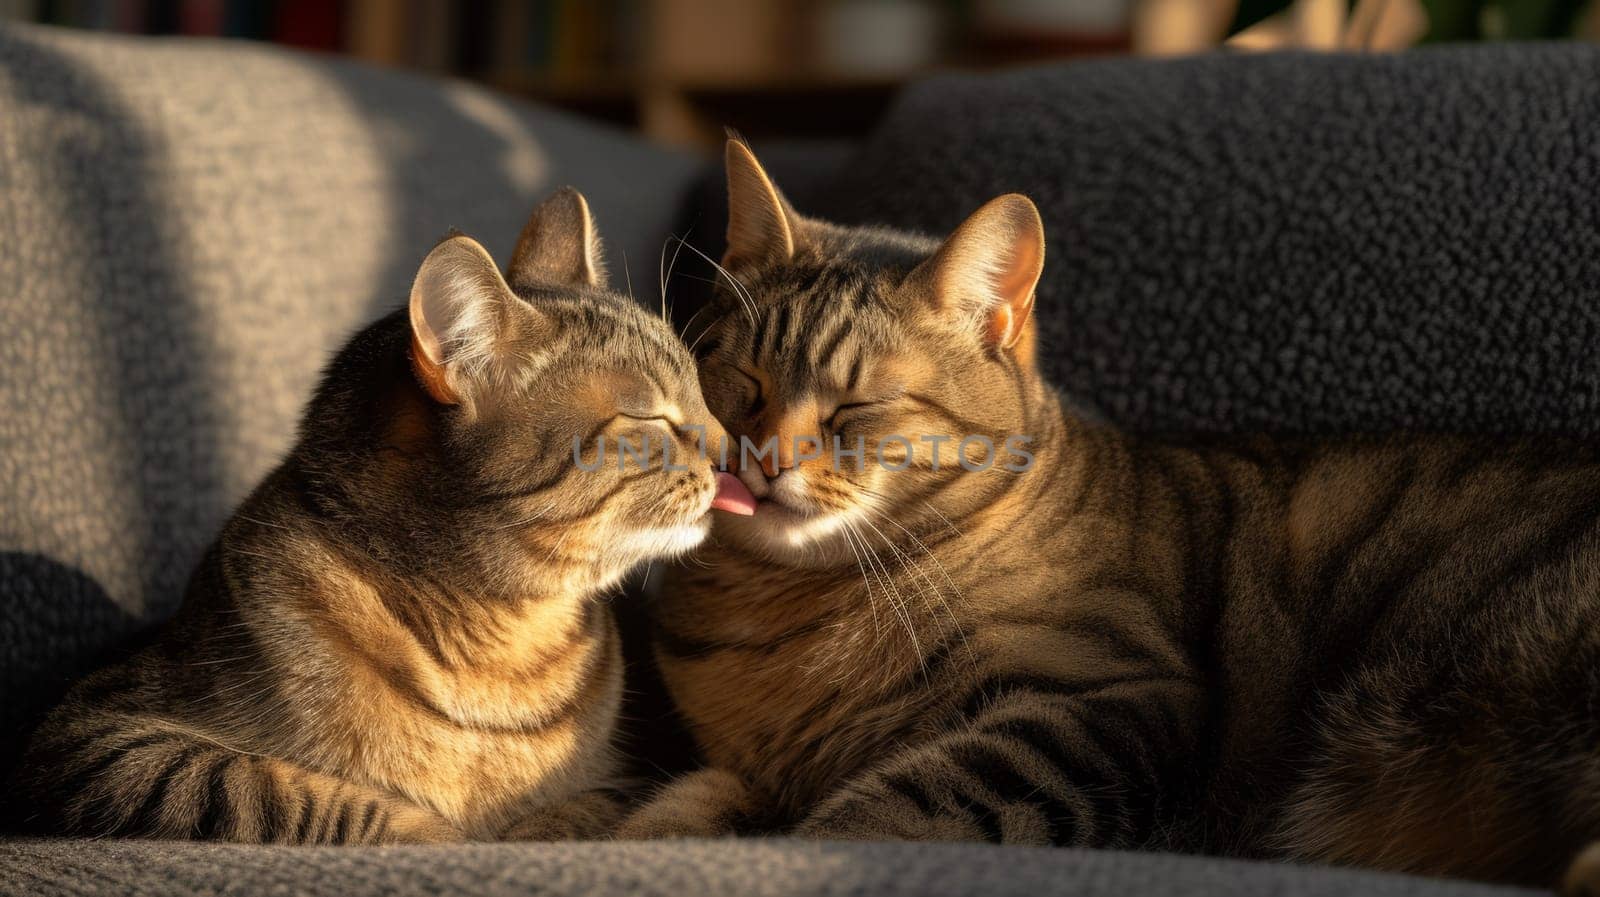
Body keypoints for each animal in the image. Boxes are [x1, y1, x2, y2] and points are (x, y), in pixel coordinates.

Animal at [12, 185, 752, 844]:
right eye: (648, 417)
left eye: (701, 388)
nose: (736, 452)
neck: (498, 643)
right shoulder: (94, 739)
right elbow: (278, 789)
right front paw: (445, 835)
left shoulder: (636, 774)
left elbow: (595, 811)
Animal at [620, 139, 1600, 889]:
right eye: (740, 381)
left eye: (858, 408)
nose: (763, 458)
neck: (776, 616)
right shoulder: (749, 768)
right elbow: (686, 799)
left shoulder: (1116, 699)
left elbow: (893, 804)